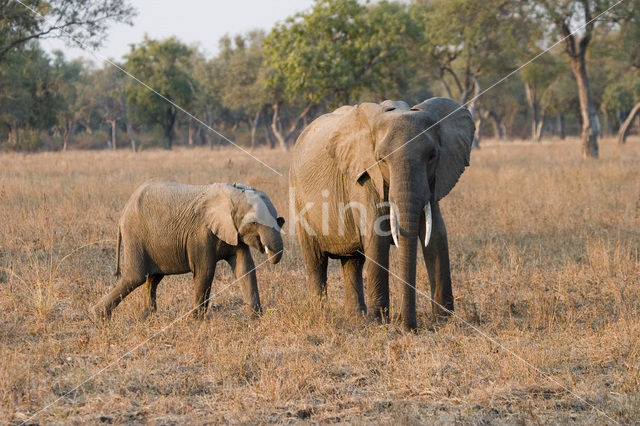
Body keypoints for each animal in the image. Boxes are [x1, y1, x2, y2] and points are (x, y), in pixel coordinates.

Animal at [92, 178, 284, 322]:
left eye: (278, 219)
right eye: (254, 222)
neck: (232, 195)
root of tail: (124, 208)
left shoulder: (232, 230)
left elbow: (245, 269)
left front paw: (256, 318)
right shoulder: (200, 234)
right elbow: (205, 272)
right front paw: (197, 321)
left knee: (152, 279)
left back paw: (148, 317)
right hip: (135, 234)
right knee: (135, 276)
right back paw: (98, 315)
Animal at [292, 97, 476, 330]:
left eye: (432, 155)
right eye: (381, 159)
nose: (409, 328)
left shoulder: (433, 181)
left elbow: (436, 235)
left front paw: (445, 321)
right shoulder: (364, 178)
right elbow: (376, 237)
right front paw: (379, 323)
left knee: (353, 262)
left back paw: (356, 318)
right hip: (298, 199)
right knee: (316, 262)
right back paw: (323, 315)